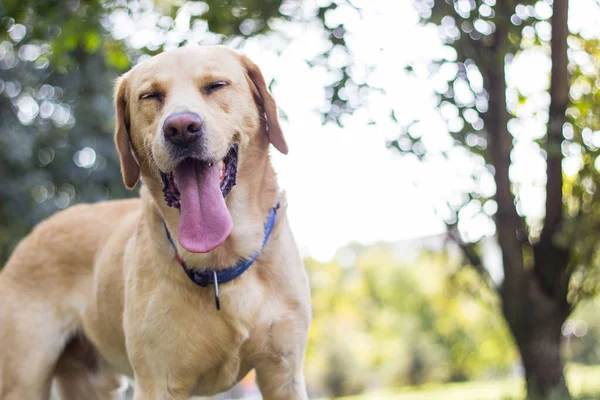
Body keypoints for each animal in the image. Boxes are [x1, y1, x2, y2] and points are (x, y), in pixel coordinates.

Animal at [1, 45, 314, 398]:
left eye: (217, 85)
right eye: (150, 96)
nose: (181, 128)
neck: (220, 263)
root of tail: (35, 232)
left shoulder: (284, 373)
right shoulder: (157, 381)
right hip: (24, 378)